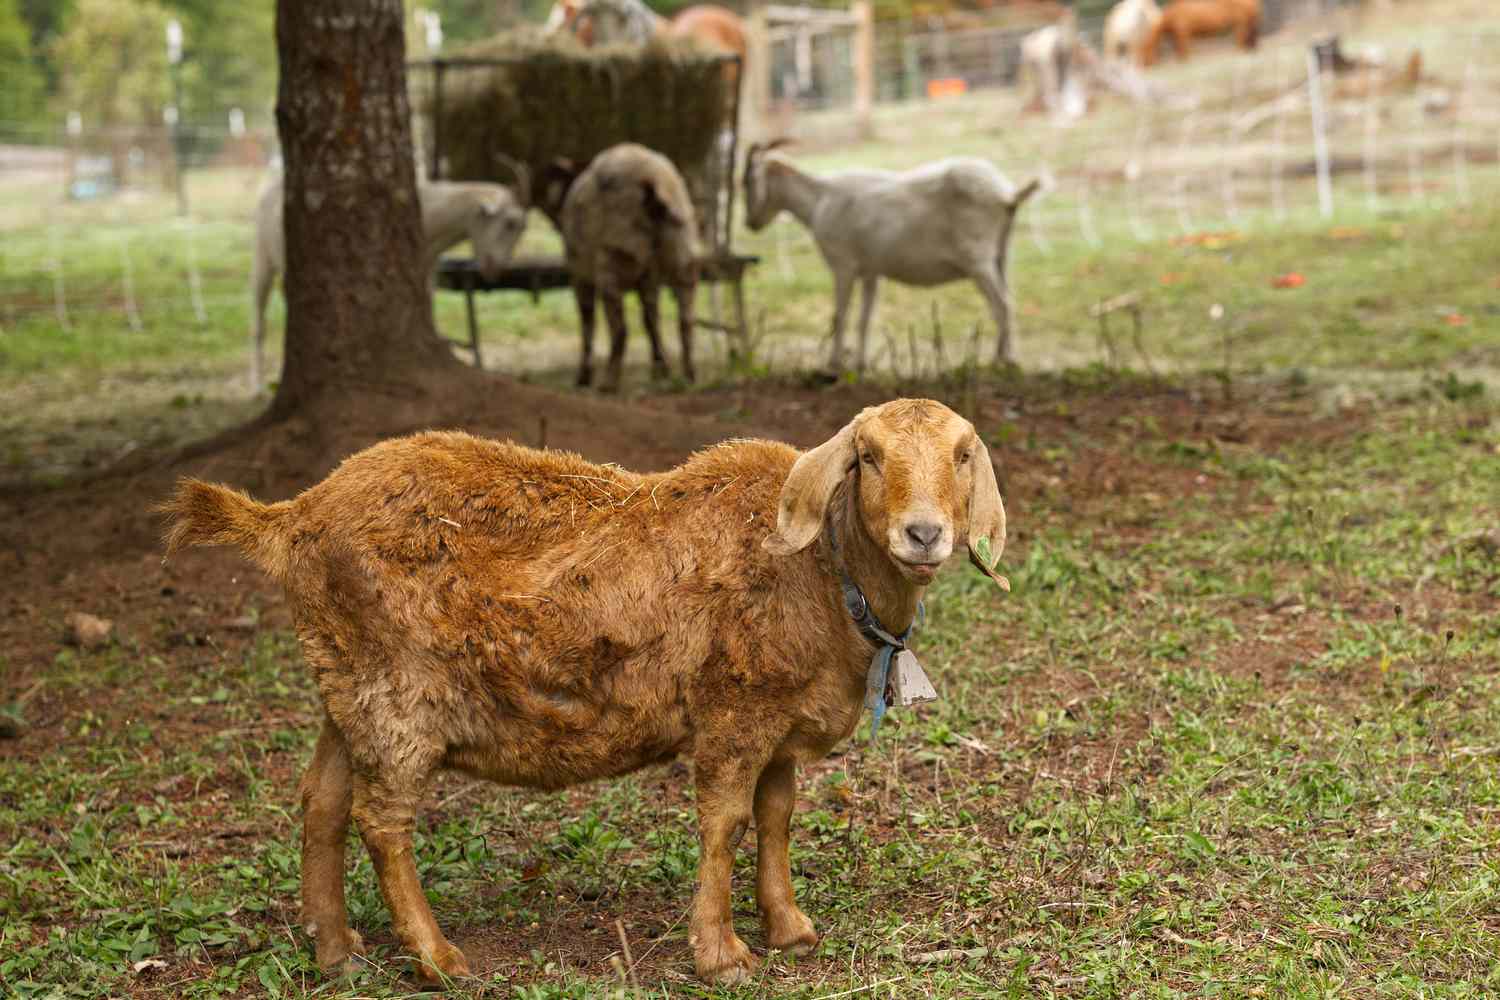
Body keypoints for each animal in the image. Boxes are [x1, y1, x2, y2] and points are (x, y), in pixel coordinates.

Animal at [158, 395, 1008, 983]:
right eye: (868, 456)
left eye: (963, 455)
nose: (924, 533)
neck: (821, 573)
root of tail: (292, 518)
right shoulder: (733, 711)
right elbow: (726, 823)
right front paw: (721, 953)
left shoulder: (775, 721)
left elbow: (776, 817)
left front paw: (789, 929)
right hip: (396, 692)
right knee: (382, 819)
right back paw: (437, 958)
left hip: (348, 684)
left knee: (324, 802)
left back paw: (337, 952)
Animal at [256, 172, 534, 386]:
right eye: (510, 223)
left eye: (522, 228)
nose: (495, 269)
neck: (432, 211)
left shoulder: (428, 266)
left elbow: (428, 303)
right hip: (263, 261)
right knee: (260, 320)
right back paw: (259, 386)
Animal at [543, 144, 699, 395]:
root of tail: (652, 183)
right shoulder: (649, 279)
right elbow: (651, 320)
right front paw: (661, 370)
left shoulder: (580, 277)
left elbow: (587, 323)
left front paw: (583, 377)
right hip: (681, 249)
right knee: (685, 321)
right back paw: (688, 376)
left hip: (615, 257)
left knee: (620, 330)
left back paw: (608, 383)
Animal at [741, 141, 1044, 371]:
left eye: (746, 181)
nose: (750, 223)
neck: (819, 200)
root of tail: (1007, 195)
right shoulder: (870, 271)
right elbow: (864, 318)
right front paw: (860, 364)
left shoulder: (842, 264)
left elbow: (840, 315)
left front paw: (833, 364)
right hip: (1002, 255)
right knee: (1005, 300)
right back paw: (1005, 357)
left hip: (977, 259)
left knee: (1002, 304)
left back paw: (1001, 360)